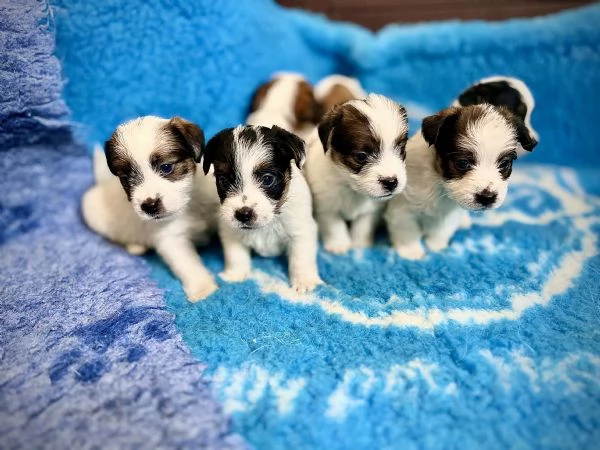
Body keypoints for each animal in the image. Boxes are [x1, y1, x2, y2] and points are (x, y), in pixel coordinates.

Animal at [81, 115, 219, 302]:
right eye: (126, 178)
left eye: (166, 167)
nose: (149, 205)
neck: (189, 204)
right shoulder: (171, 240)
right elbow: (187, 264)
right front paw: (203, 288)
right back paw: (135, 246)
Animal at [203, 124, 324, 292]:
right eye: (223, 181)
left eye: (267, 179)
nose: (243, 214)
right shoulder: (230, 231)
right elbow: (235, 254)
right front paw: (236, 274)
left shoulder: (301, 230)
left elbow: (301, 258)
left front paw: (304, 281)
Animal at [304, 93, 408, 255]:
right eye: (361, 156)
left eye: (401, 150)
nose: (391, 182)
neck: (351, 188)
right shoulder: (326, 205)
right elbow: (334, 225)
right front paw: (339, 244)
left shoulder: (372, 209)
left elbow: (362, 226)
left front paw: (360, 243)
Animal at [384, 103, 540, 260]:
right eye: (463, 163)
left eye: (504, 164)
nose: (487, 197)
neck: (440, 183)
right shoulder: (403, 208)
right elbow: (407, 230)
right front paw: (411, 251)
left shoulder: (451, 213)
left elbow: (442, 230)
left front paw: (437, 246)